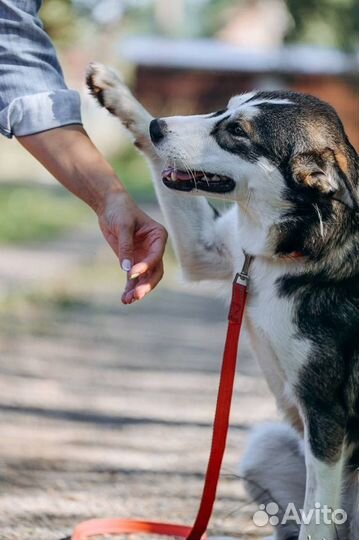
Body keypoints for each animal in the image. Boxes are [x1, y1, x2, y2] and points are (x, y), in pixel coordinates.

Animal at [86, 64, 358, 540]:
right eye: (226, 108)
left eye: (237, 132)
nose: (160, 128)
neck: (289, 249)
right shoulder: (209, 251)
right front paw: (117, 96)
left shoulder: (326, 416)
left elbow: (317, 522)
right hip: (264, 445)